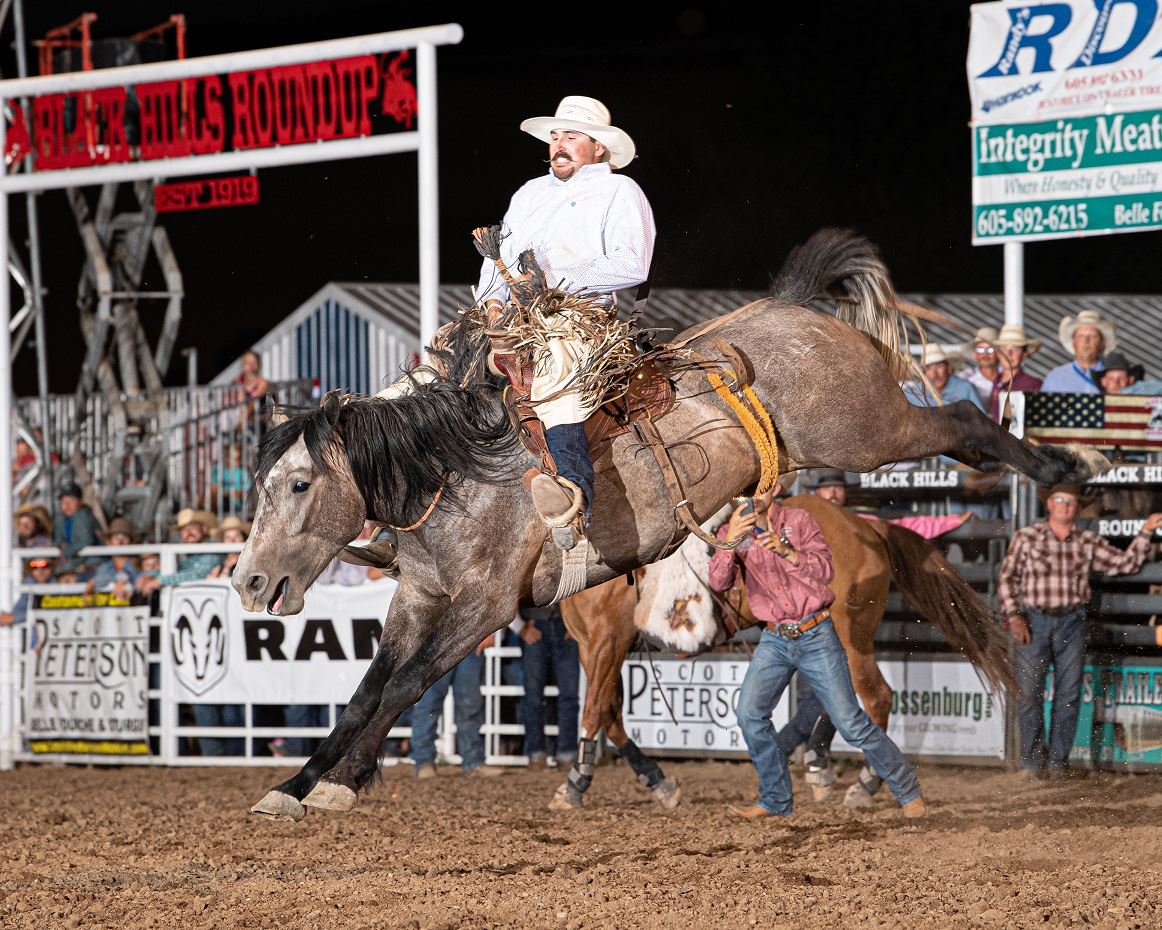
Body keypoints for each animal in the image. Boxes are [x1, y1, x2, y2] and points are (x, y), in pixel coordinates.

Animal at [553, 497, 1008, 809]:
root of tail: (867, 524)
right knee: (836, 698)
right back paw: (818, 763)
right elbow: (610, 714)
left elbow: (594, 711)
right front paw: (657, 781)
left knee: (873, 696)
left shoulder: (608, 639)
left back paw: (864, 783)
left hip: (851, 634)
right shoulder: (592, 646)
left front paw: (574, 784)